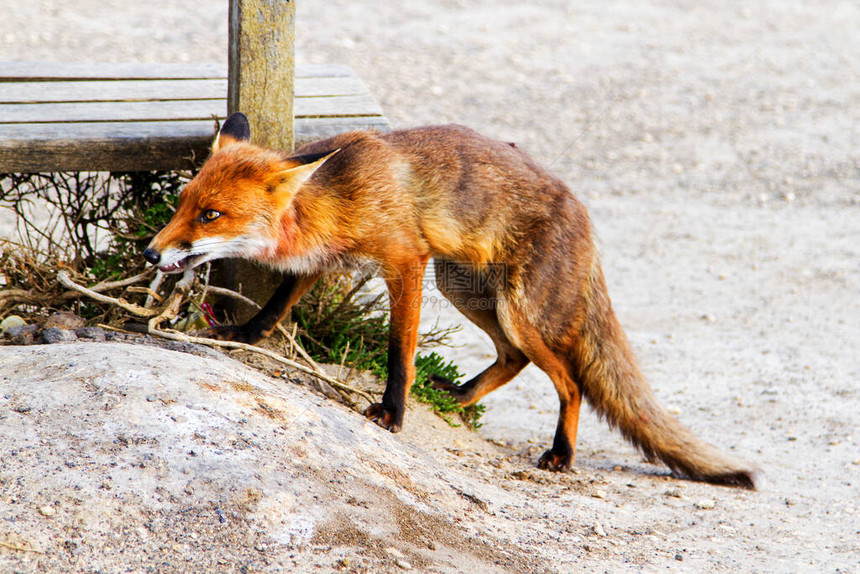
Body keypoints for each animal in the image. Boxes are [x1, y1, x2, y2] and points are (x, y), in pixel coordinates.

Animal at [144, 112, 756, 490]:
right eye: (184, 202)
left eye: (211, 215)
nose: (151, 252)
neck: (336, 199)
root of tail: (584, 215)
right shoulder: (325, 261)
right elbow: (274, 310)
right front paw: (241, 337)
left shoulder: (406, 264)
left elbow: (401, 350)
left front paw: (392, 413)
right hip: (464, 290)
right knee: (513, 358)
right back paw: (457, 398)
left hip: (517, 310)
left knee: (569, 381)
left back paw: (561, 453)